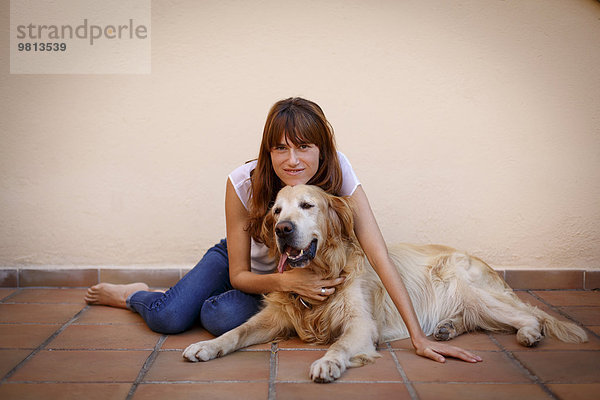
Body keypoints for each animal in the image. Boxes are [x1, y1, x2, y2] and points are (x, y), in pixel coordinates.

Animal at [182, 186, 584, 382]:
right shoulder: (275, 315)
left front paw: (329, 363)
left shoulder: (362, 324)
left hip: (474, 290)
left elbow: (341, 343)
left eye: (307, 206)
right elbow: (234, 332)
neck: (321, 268)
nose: (282, 230)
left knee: (530, 316)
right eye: (277, 211)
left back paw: (528, 334)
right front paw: (206, 346)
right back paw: (447, 329)